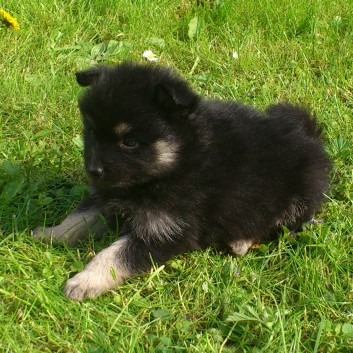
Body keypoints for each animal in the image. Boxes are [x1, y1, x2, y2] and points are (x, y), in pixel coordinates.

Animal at [31, 62, 328, 298]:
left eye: (129, 141)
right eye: (91, 131)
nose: (93, 171)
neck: (177, 160)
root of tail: (309, 137)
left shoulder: (167, 229)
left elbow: (114, 254)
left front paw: (85, 281)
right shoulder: (109, 197)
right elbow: (79, 218)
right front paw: (51, 233)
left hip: (300, 194)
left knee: (282, 222)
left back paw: (241, 241)